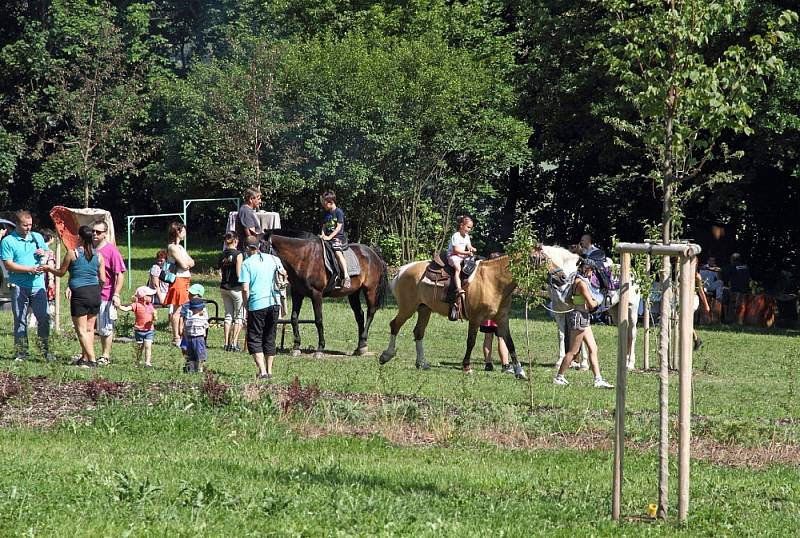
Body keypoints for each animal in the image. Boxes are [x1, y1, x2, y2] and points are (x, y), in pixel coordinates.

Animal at [266, 229, 388, 358]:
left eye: (262, 246)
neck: (303, 256)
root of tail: (373, 253)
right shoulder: (297, 293)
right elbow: (294, 318)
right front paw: (296, 347)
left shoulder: (316, 294)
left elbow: (318, 320)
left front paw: (320, 349)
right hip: (353, 293)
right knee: (359, 315)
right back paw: (360, 347)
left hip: (370, 290)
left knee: (371, 312)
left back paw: (363, 343)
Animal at [378, 253, 528, 374]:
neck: (492, 280)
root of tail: (402, 270)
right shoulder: (475, 318)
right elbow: (471, 342)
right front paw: (466, 367)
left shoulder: (502, 319)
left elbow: (510, 342)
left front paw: (519, 371)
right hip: (408, 308)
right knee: (395, 325)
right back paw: (387, 355)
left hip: (424, 309)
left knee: (418, 332)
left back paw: (422, 363)